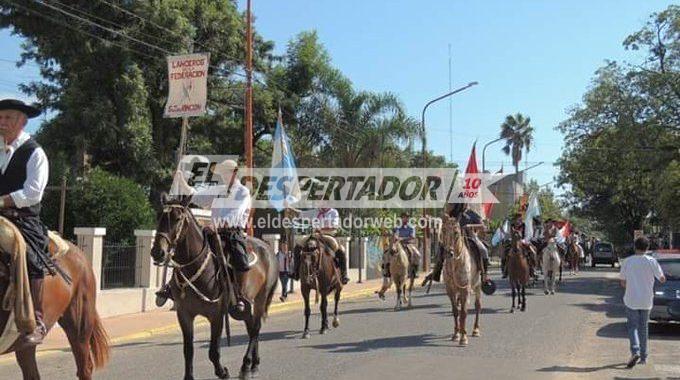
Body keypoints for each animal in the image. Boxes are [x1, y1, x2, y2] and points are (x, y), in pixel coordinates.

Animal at [150, 196, 278, 380]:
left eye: (178, 218)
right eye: (159, 215)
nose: (157, 252)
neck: (195, 267)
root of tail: (267, 248)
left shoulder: (216, 315)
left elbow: (213, 351)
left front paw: (222, 371)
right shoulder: (184, 314)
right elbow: (188, 350)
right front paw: (189, 376)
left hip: (261, 297)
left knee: (255, 328)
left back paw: (246, 365)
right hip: (246, 305)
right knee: (251, 325)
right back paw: (253, 364)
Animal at [440, 215, 484, 346]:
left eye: (456, 232)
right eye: (443, 230)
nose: (448, 253)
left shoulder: (465, 289)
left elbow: (464, 312)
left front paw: (463, 337)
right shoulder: (450, 290)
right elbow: (455, 311)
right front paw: (456, 334)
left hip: (477, 285)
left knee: (478, 306)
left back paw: (475, 330)